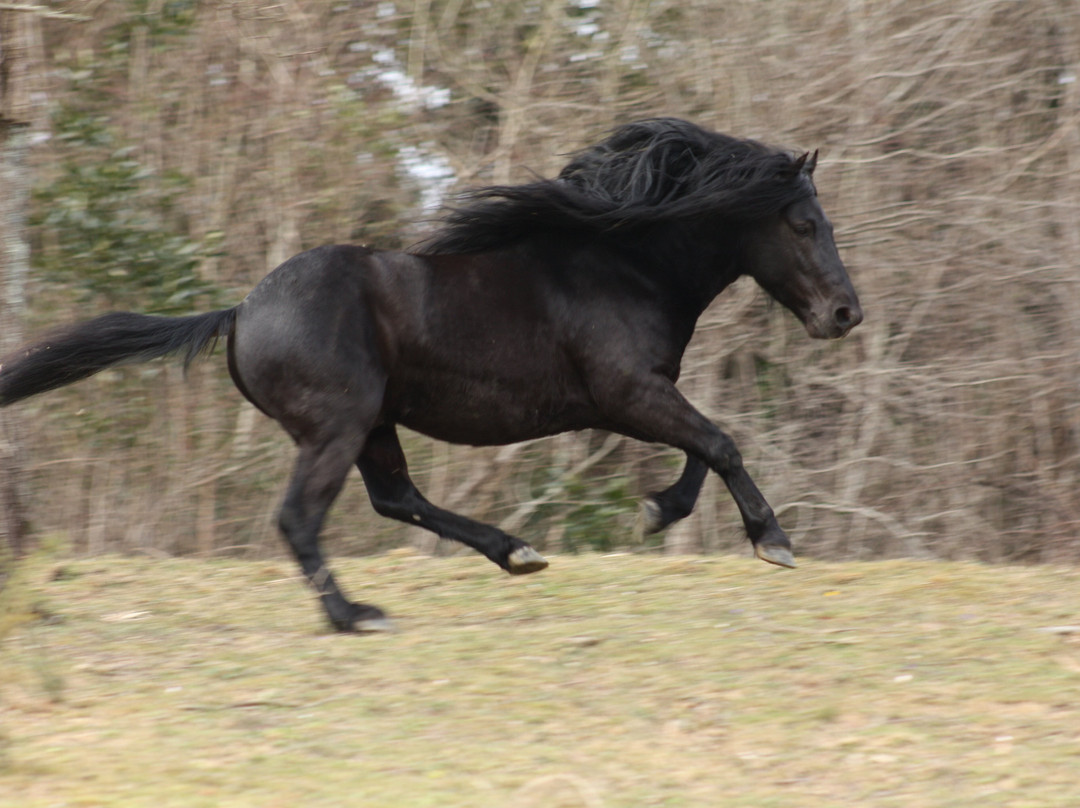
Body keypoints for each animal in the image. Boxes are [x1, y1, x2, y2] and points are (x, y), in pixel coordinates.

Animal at [0, 116, 859, 630]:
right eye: (804, 223)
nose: (846, 314)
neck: (623, 262)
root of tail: (240, 312)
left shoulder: (637, 396)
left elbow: (702, 450)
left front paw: (657, 512)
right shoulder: (627, 393)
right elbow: (721, 443)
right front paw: (773, 541)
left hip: (373, 424)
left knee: (397, 499)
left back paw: (514, 553)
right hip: (338, 426)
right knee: (302, 518)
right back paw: (355, 615)